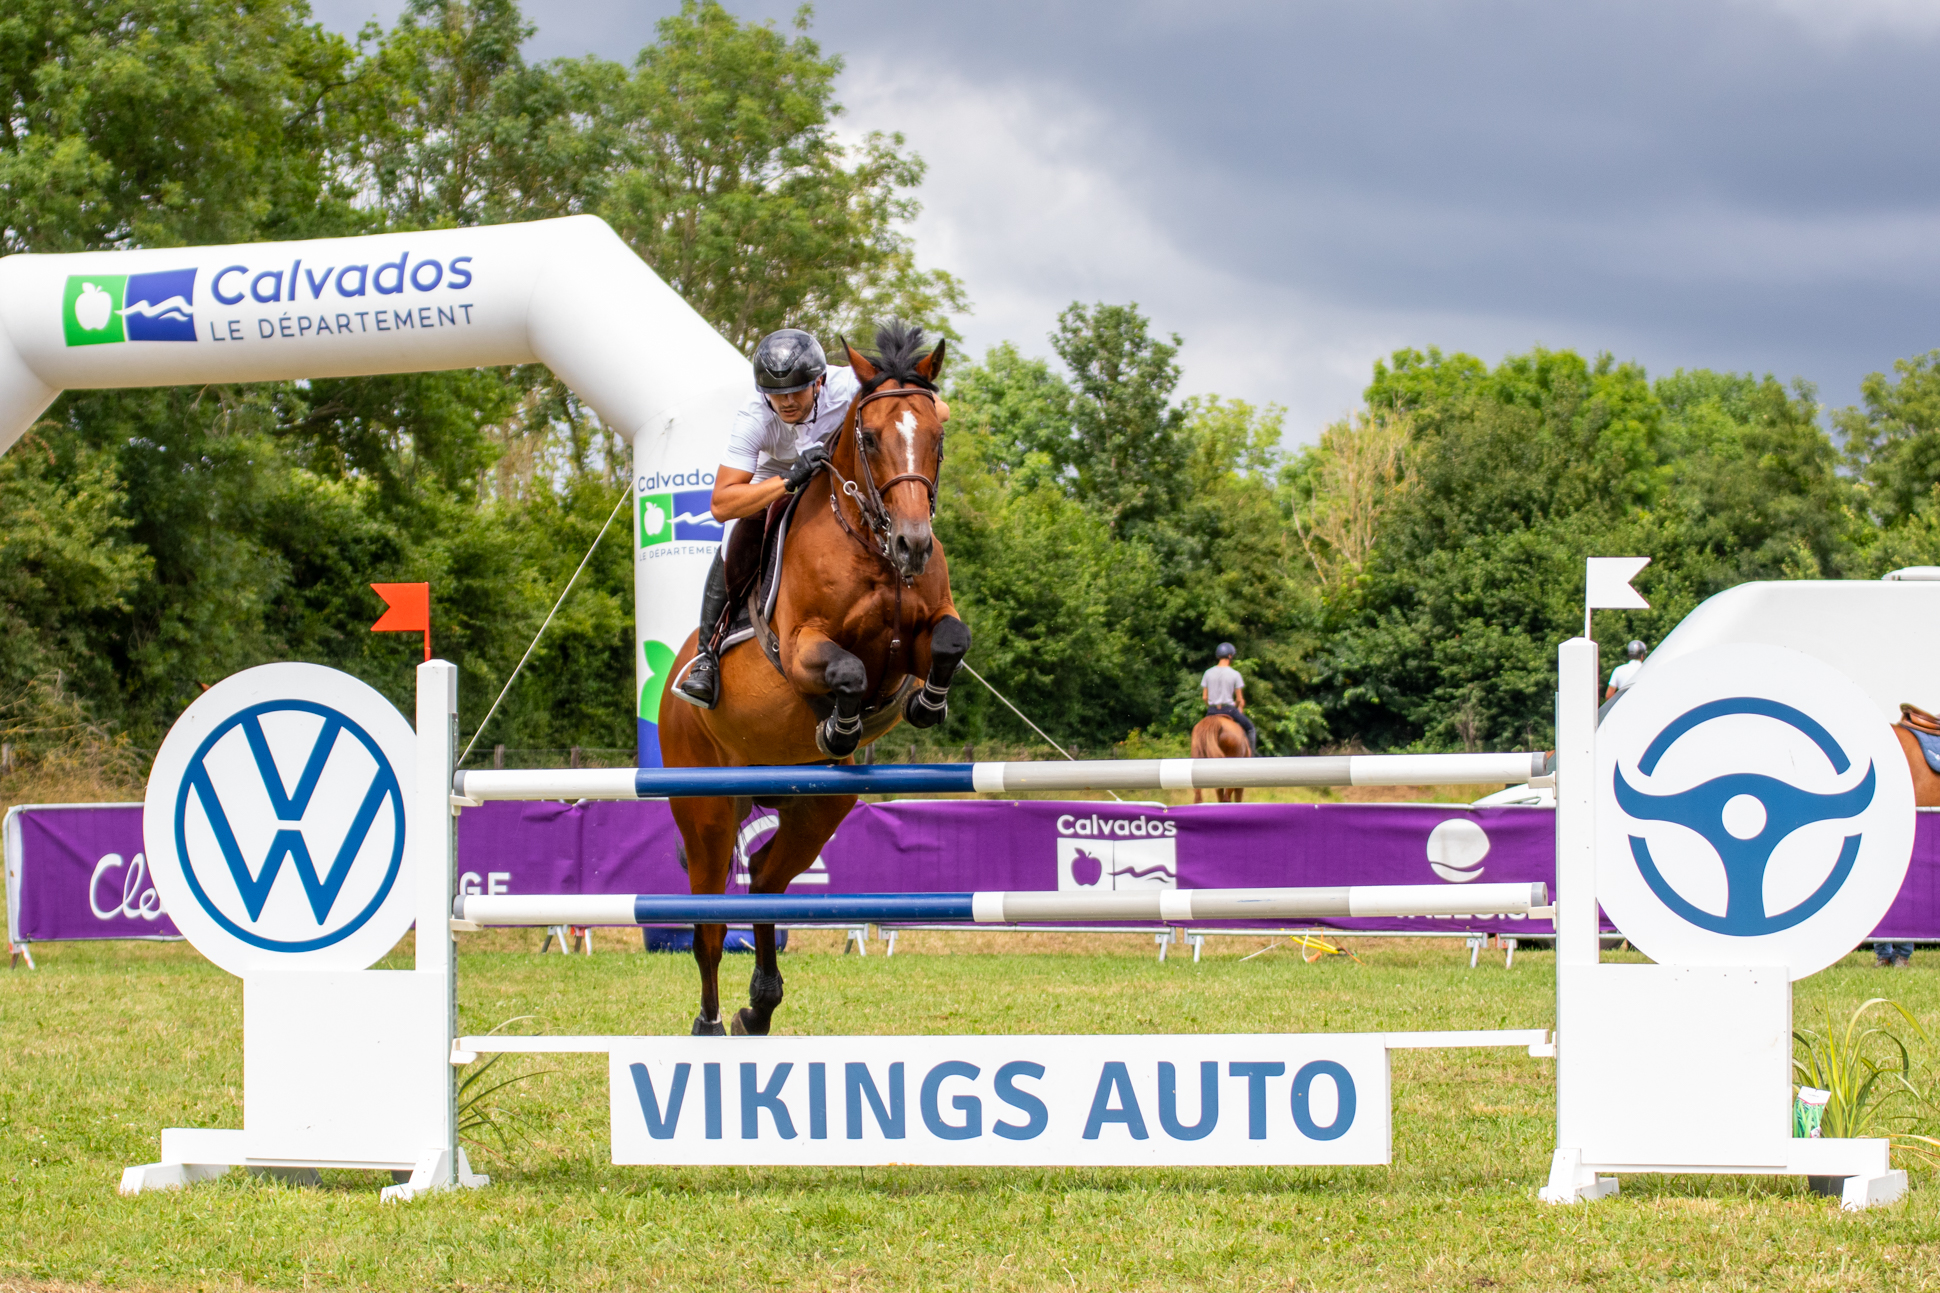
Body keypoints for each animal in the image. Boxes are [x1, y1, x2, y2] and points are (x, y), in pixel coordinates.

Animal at [658, 323, 970, 1037]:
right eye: (870, 436)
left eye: (937, 432)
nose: (914, 544)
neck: (870, 540)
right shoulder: (804, 647)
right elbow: (848, 669)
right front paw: (839, 724)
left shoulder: (919, 639)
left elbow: (949, 641)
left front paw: (929, 705)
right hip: (705, 807)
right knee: (708, 922)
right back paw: (710, 1023)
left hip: (819, 805)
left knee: (767, 879)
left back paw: (759, 1005)